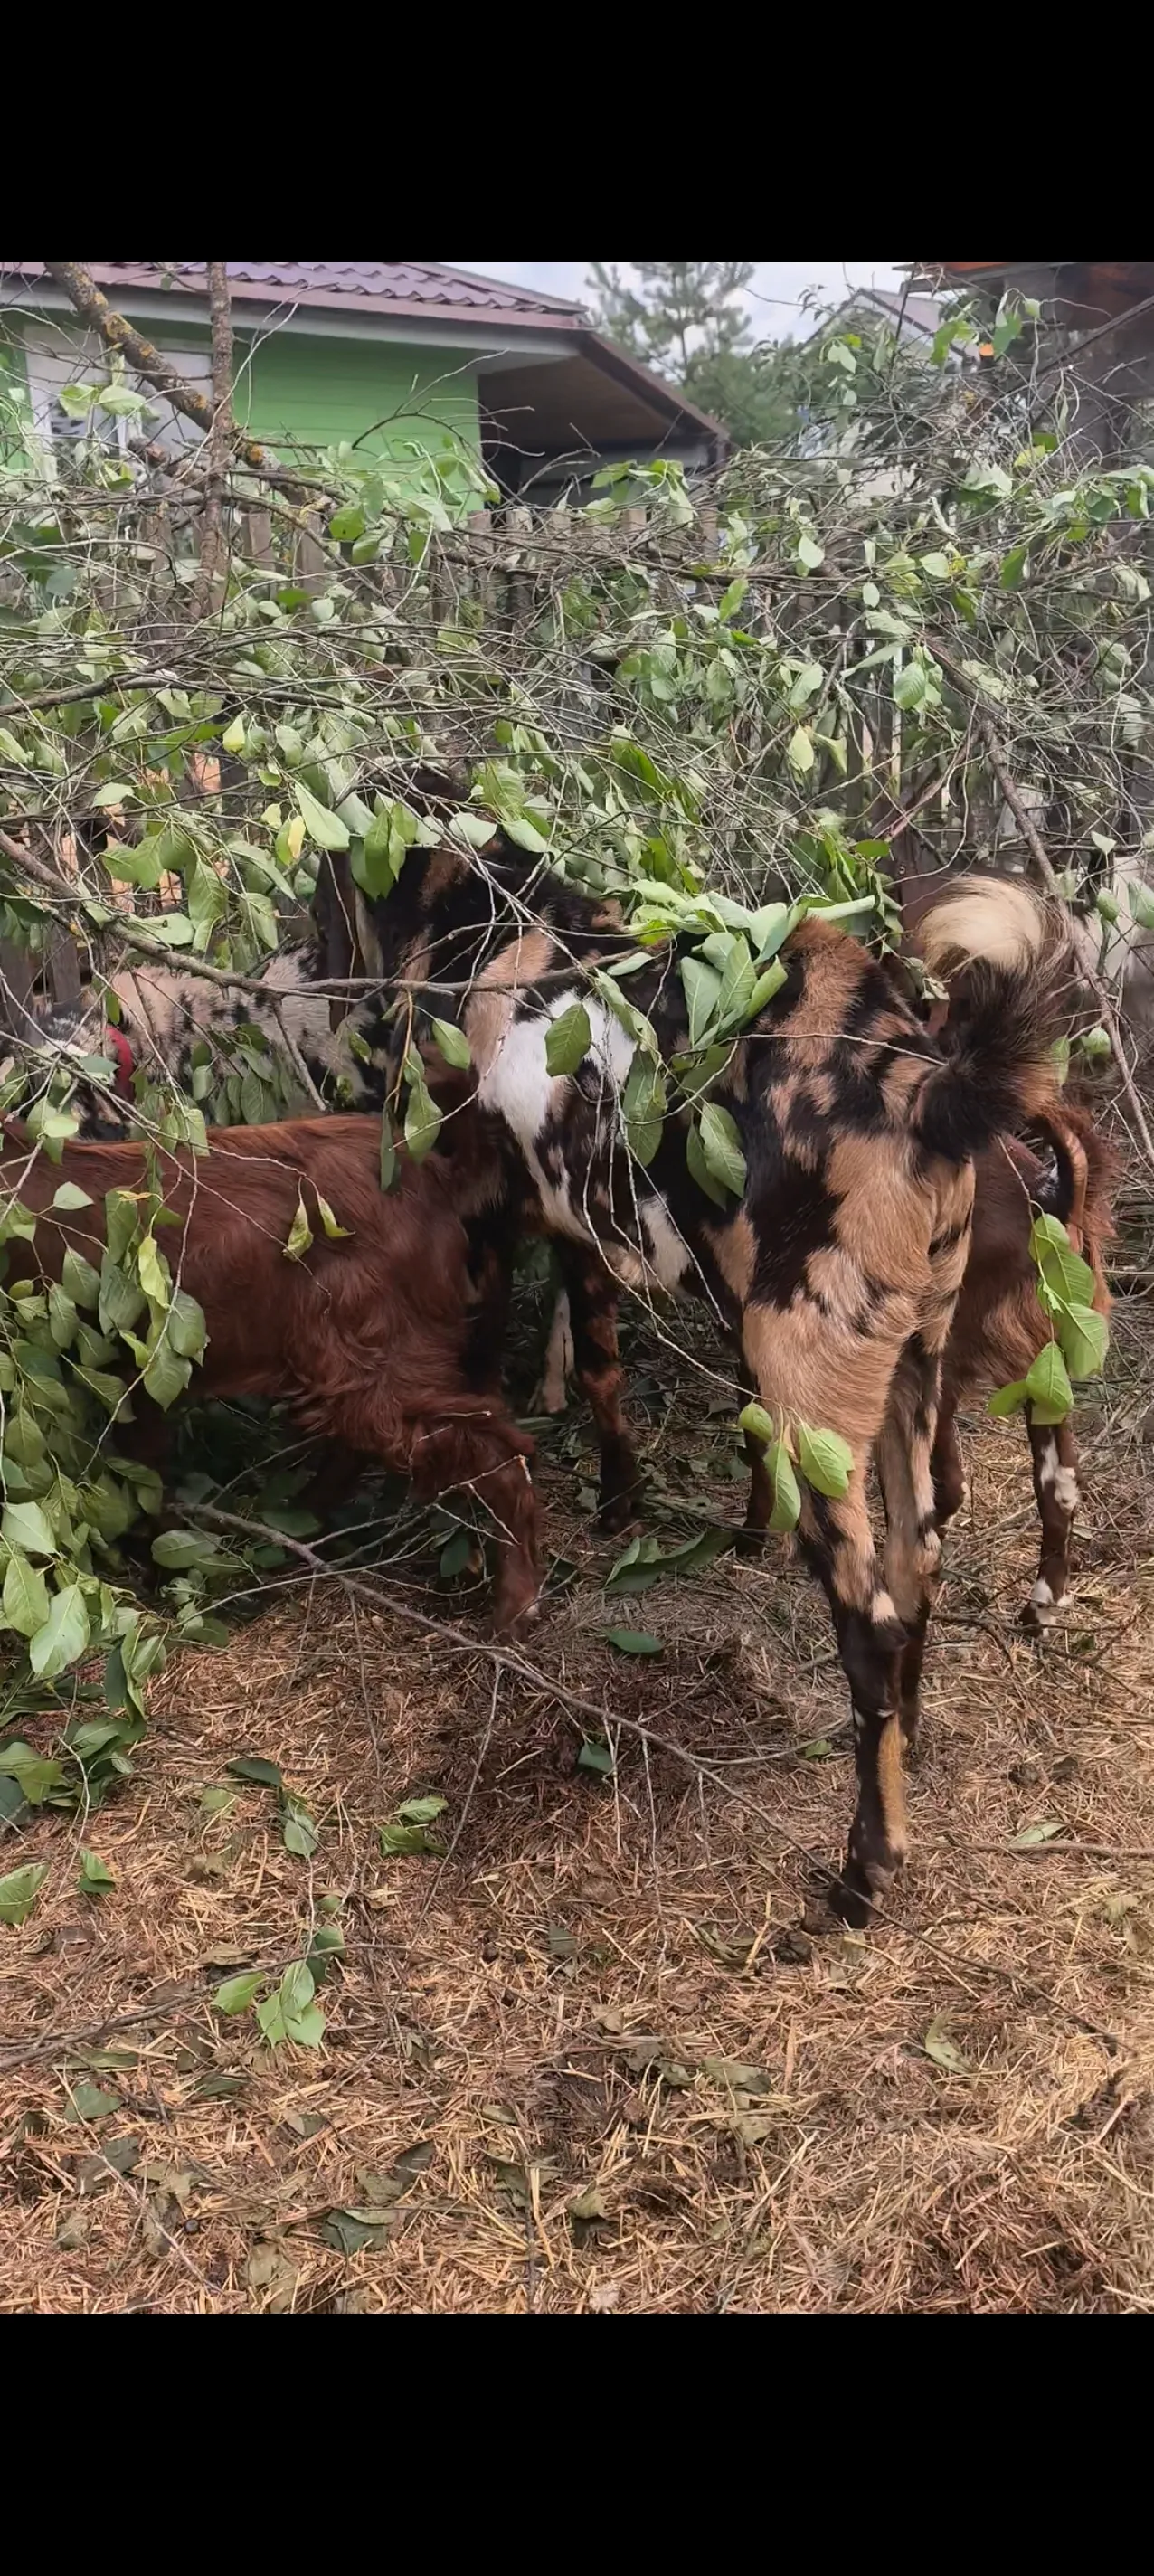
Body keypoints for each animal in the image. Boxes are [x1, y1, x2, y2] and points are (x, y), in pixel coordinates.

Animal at [0, 1112, 540, 1637]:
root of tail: (438, 1179)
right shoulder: (139, 1379)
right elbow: (147, 1473)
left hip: (372, 1352)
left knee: (492, 1451)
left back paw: (515, 1607)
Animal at [312, 836, 1069, 1923]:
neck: (482, 911)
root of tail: (927, 1096)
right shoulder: (583, 1227)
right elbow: (598, 1365)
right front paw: (619, 1502)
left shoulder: (492, 1216)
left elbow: (501, 1356)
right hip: (910, 1366)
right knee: (916, 1557)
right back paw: (910, 1748)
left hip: (812, 1391)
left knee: (870, 1624)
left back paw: (864, 1871)